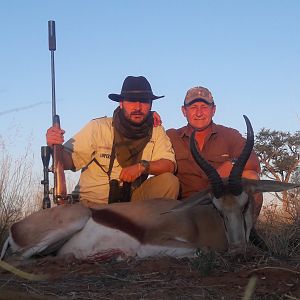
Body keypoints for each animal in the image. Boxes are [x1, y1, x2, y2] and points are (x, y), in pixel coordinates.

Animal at [1, 116, 298, 262]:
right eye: (216, 207)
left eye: (246, 204)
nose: (238, 251)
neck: (198, 220)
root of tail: (16, 228)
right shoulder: (157, 242)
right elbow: (202, 250)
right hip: (74, 219)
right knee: (19, 259)